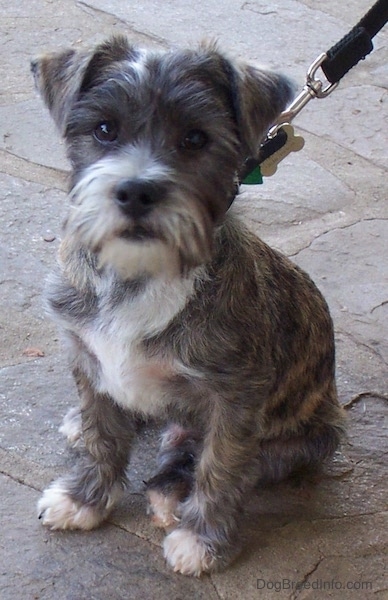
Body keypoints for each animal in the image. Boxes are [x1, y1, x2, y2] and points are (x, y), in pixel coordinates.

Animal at [31, 36, 346, 576]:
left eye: (196, 139)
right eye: (104, 129)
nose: (137, 191)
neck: (141, 275)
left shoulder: (234, 400)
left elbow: (221, 466)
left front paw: (204, 540)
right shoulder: (86, 357)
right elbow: (102, 435)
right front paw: (85, 499)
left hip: (304, 440)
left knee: (211, 458)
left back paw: (170, 492)